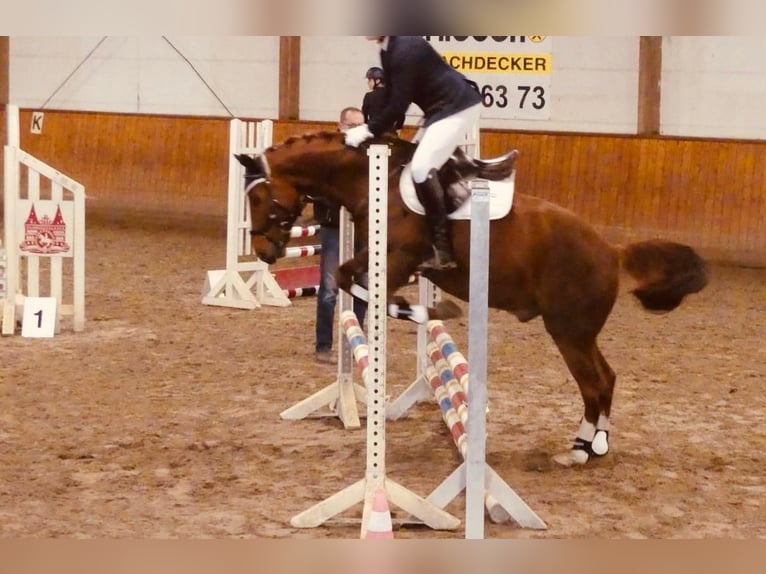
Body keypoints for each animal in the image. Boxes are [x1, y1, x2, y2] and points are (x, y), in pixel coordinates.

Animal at [237, 132, 712, 468]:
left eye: (259, 196)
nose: (264, 251)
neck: (371, 180)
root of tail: (612, 253)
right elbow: (347, 279)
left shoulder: (398, 260)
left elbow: (367, 287)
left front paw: (433, 309)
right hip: (578, 332)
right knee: (606, 379)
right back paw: (592, 445)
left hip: (568, 331)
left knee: (595, 382)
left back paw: (581, 450)